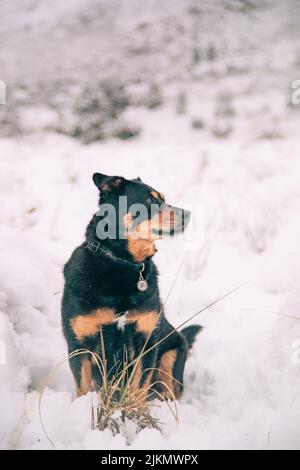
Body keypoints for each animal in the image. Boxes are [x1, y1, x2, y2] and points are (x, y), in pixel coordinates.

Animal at [61, 174, 200, 402]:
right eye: (150, 200)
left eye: (163, 198)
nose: (187, 214)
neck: (121, 264)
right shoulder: (79, 346)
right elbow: (84, 389)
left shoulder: (147, 341)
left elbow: (138, 389)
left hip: (172, 353)